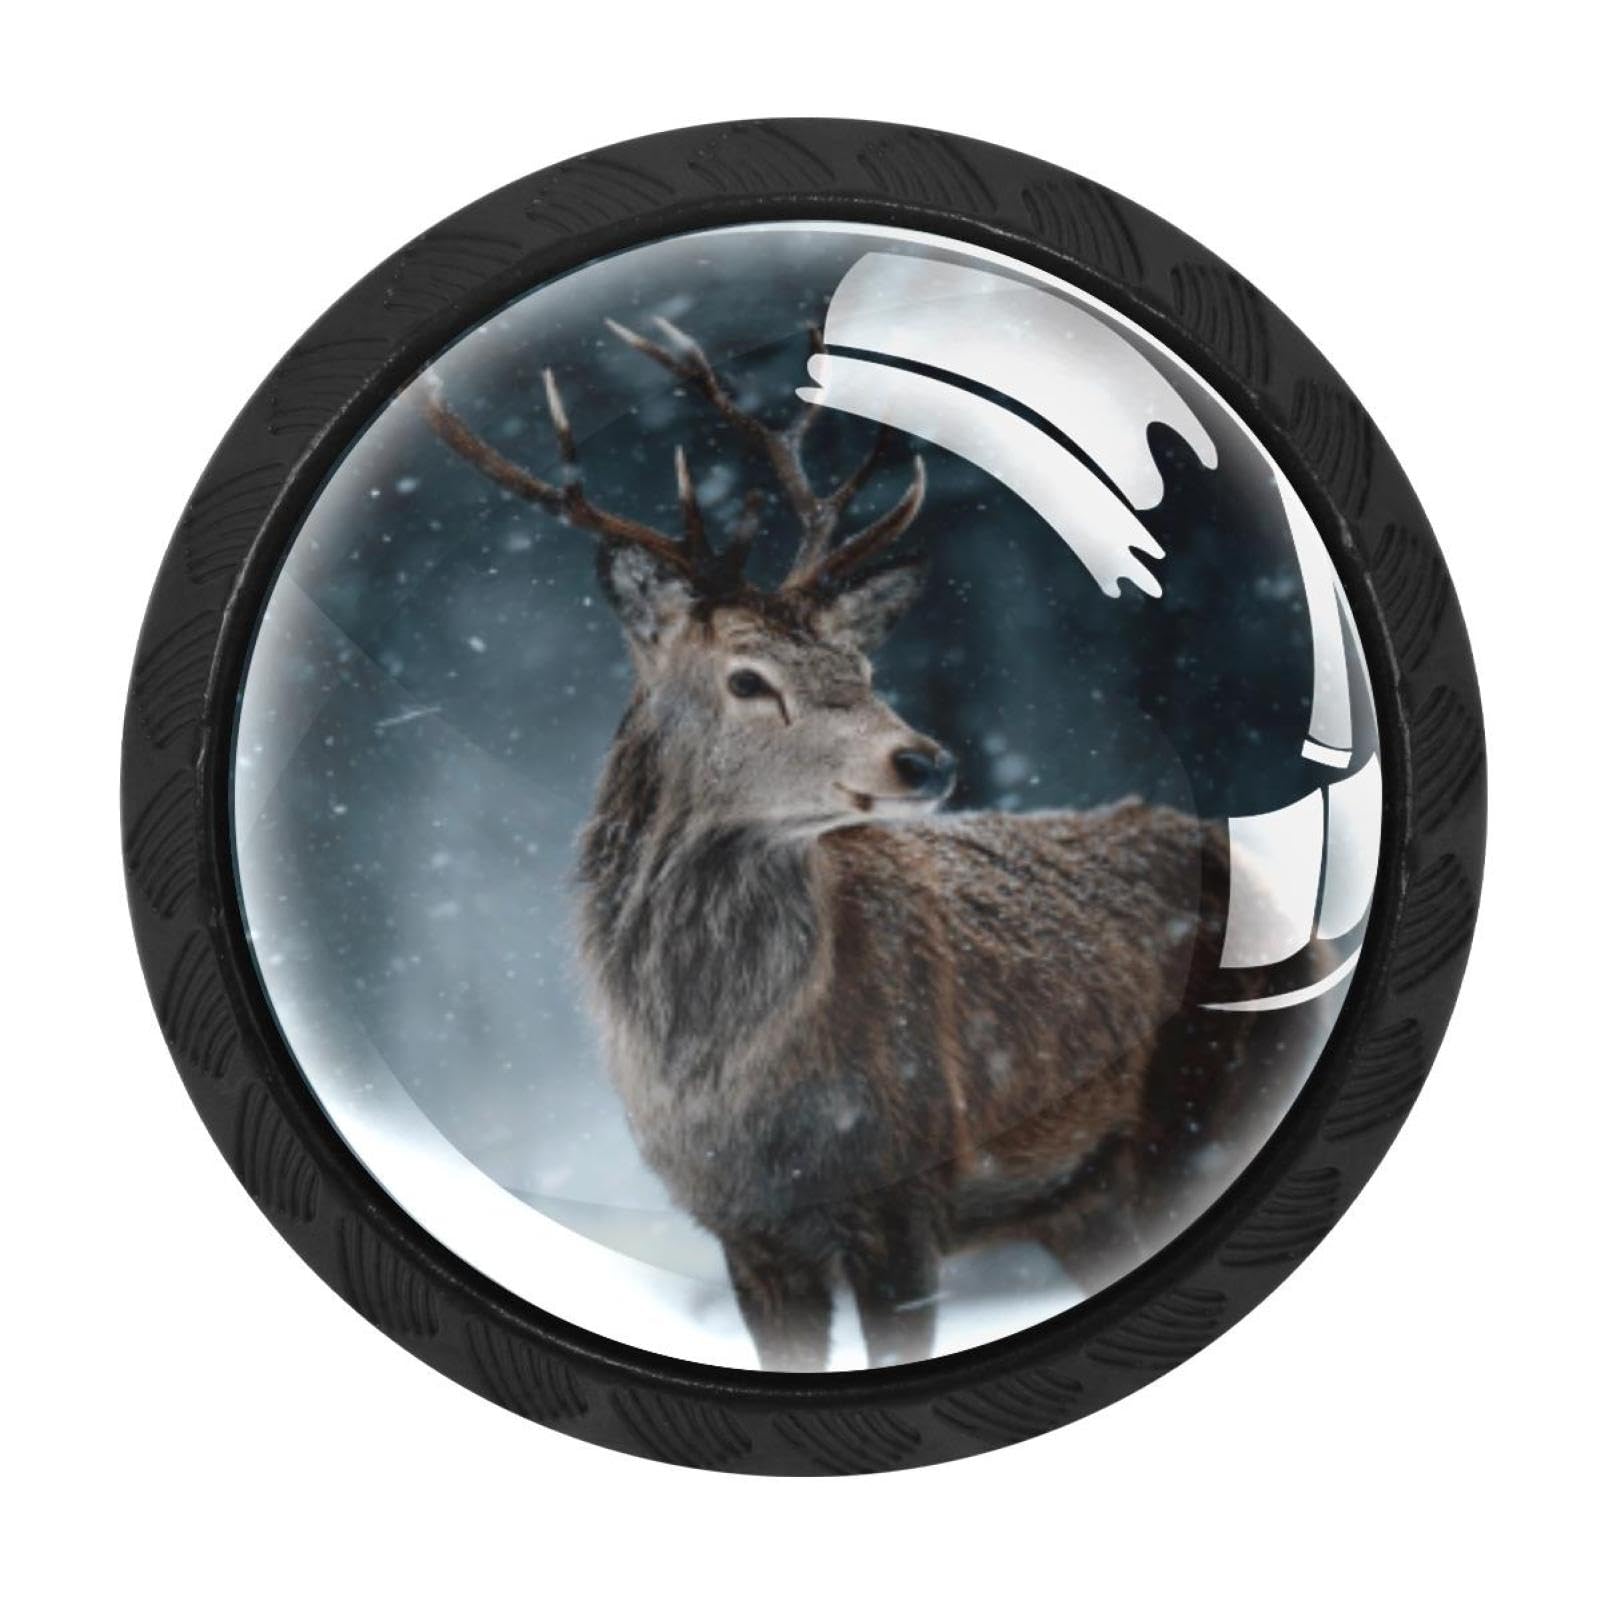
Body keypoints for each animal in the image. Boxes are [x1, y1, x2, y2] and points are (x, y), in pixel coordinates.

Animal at [421, 315, 1265, 1371]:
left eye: (859, 665)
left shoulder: (903, 1191)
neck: (739, 1094)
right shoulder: (743, 1228)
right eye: (747, 678)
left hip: (1204, 1110)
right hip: (1091, 1197)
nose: (925, 759)